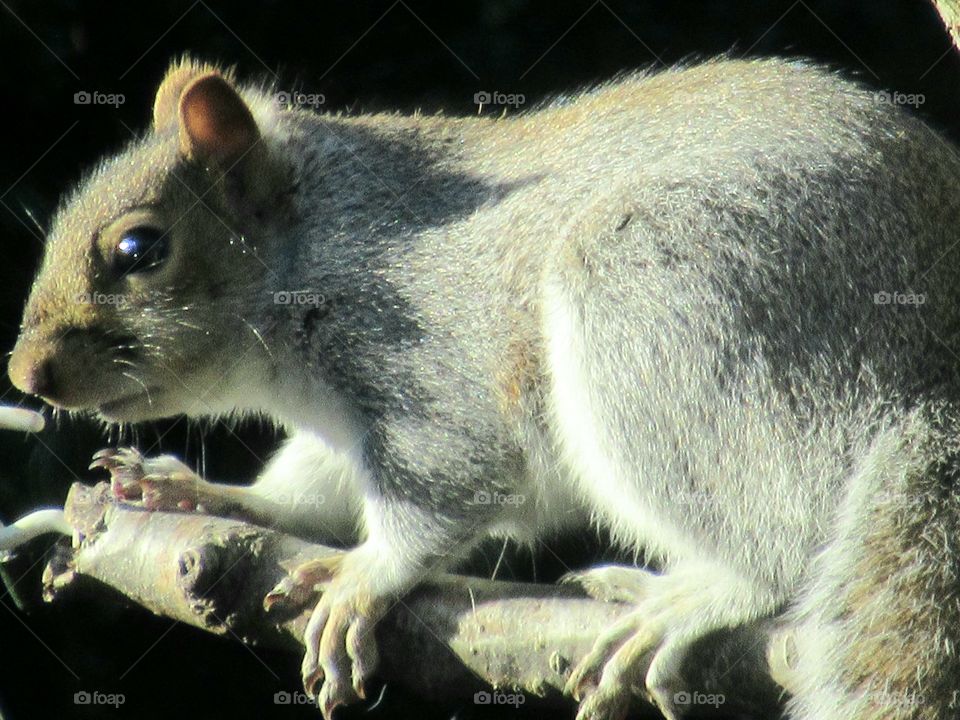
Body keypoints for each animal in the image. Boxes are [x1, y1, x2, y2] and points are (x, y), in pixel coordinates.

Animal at [9, 55, 960, 720]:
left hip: (656, 302)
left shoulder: (426, 373)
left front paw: (365, 576)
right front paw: (207, 494)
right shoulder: (339, 429)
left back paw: (690, 594)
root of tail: (928, 370)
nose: (25, 374)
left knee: (783, 539)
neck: (314, 246)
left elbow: (447, 487)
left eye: (140, 249)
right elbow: (309, 492)